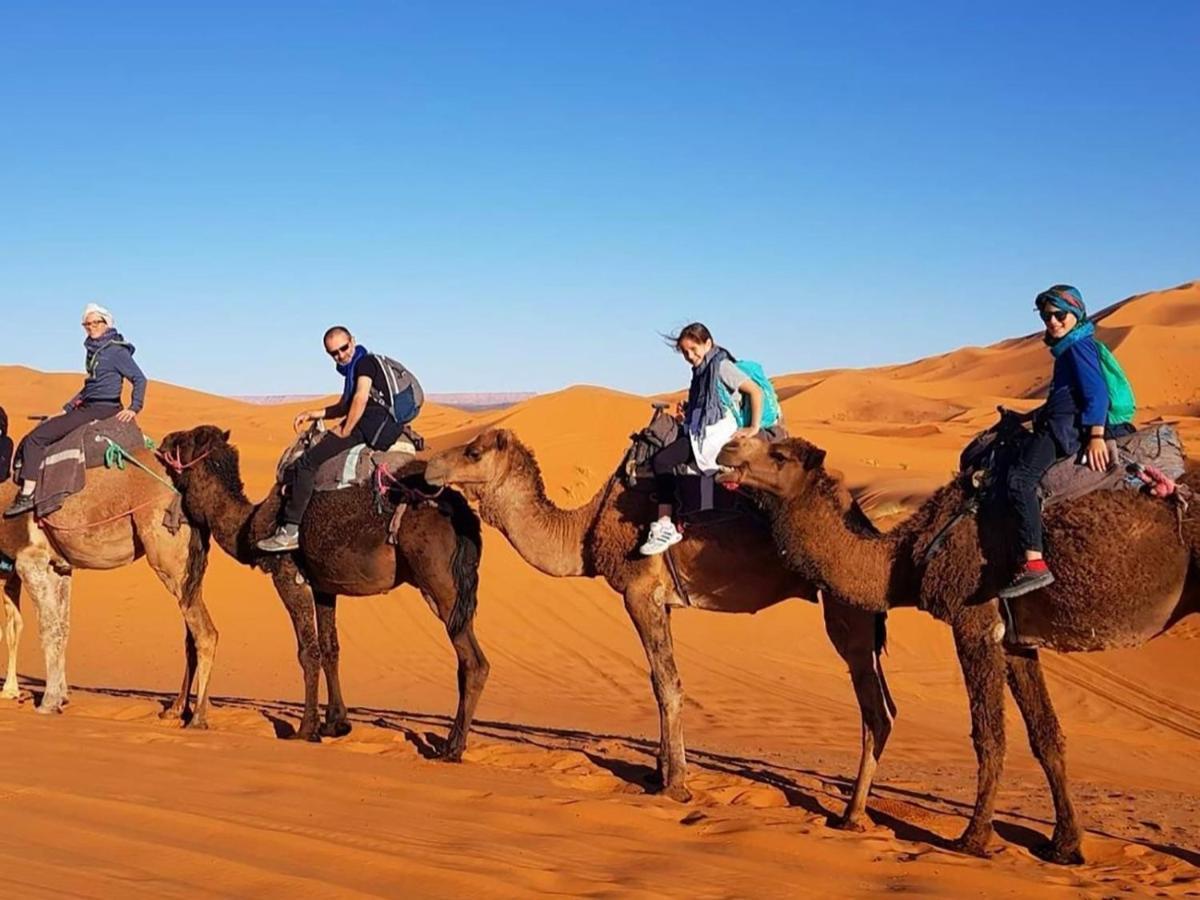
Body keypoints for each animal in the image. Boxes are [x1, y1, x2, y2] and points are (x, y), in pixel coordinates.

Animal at [0, 453, 213, 724]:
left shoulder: (29, 560)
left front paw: (45, 701)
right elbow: (59, 627)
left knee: (205, 633)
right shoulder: (56, 566)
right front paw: (58, 695)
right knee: (192, 634)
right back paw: (177, 710)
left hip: (168, 556)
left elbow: (44, 628)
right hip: (188, 569)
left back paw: (196, 718)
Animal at [159, 427, 487, 758]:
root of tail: (463, 514)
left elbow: (308, 651)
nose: (163, 441)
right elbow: (331, 648)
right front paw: (336, 723)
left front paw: (306, 730)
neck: (249, 525)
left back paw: (452, 748)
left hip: (439, 582)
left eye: (185, 440)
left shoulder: (287, 574)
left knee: (473, 662)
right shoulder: (323, 586)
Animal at [424, 427, 902, 825]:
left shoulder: (638, 593)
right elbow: (662, 681)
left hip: (845, 606)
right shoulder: (662, 603)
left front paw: (675, 786)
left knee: (875, 711)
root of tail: (865, 526)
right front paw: (660, 772)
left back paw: (851, 816)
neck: (585, 531)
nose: (428, 467)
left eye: (473, 451)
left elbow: (665, 683)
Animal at [715, 436, 1195, 868]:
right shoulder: (1016, 638)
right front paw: (1065, 846)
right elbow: (1045, 735)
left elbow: (989, 735)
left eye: (779, 454)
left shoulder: (973, 621)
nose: (727, 448)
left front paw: (973, 839)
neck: (903, 563)